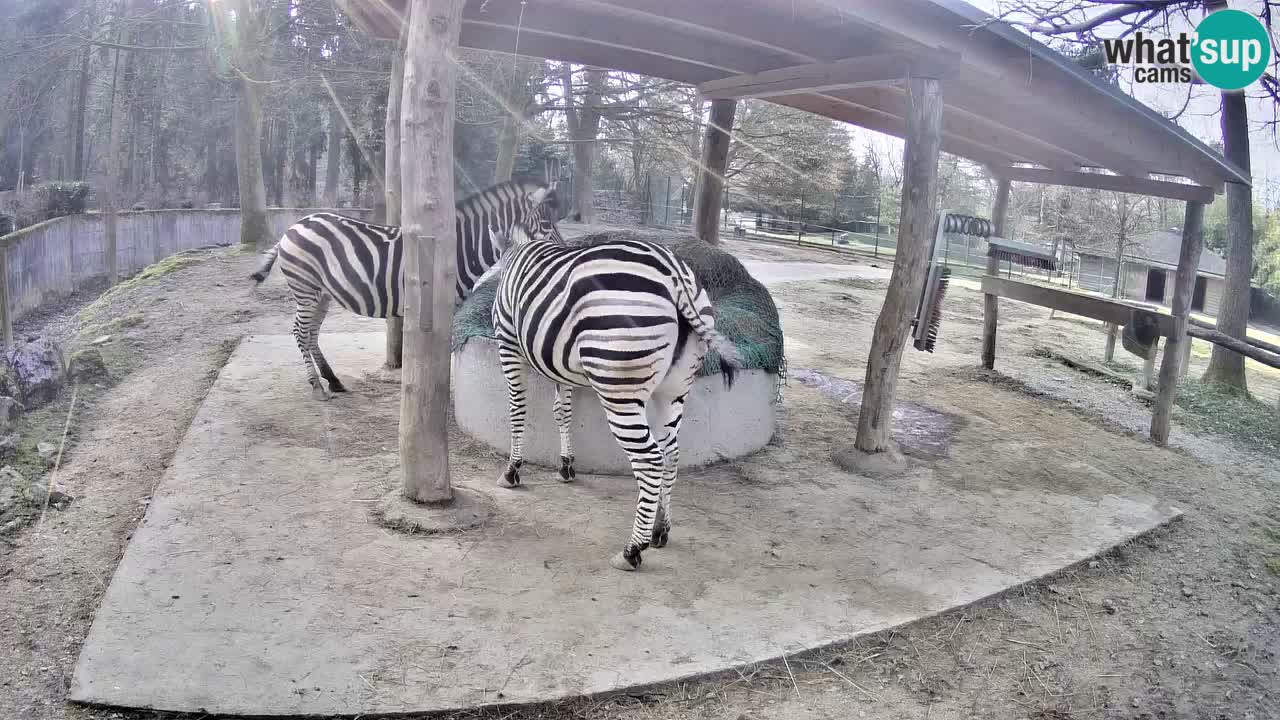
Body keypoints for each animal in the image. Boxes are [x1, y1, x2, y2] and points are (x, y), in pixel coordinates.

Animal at [250, 180, 562, 400]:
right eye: (546, 224)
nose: (563, 253)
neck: (460, 249)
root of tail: (294, 226)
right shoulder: (444, 305)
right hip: (306, 288)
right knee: (300, 332)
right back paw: (317, 386)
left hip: (323, 293)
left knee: (312, 333)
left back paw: (333, 381)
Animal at [489, 235, 743, 571]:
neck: (519, 249)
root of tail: (675, 274)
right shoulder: (559, 362)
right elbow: (562, 412)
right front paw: (566, 466)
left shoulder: (508, 343)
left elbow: (517, 409)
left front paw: (512, 471)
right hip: (674, 388)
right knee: (672, 452)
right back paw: (661, 528)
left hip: (619, 386)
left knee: (650, 460)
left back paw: (633, 549)